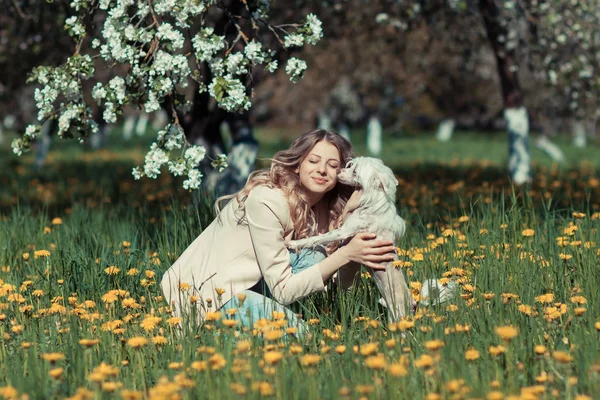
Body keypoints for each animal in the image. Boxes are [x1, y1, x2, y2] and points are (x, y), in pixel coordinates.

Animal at [290, 157, 418, 322]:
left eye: (355, 171)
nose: (337, 170)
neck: (372, 203)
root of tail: (412, 306)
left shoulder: (344, 232)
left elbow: (318, 238)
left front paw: (294, 243)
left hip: (398, 315)